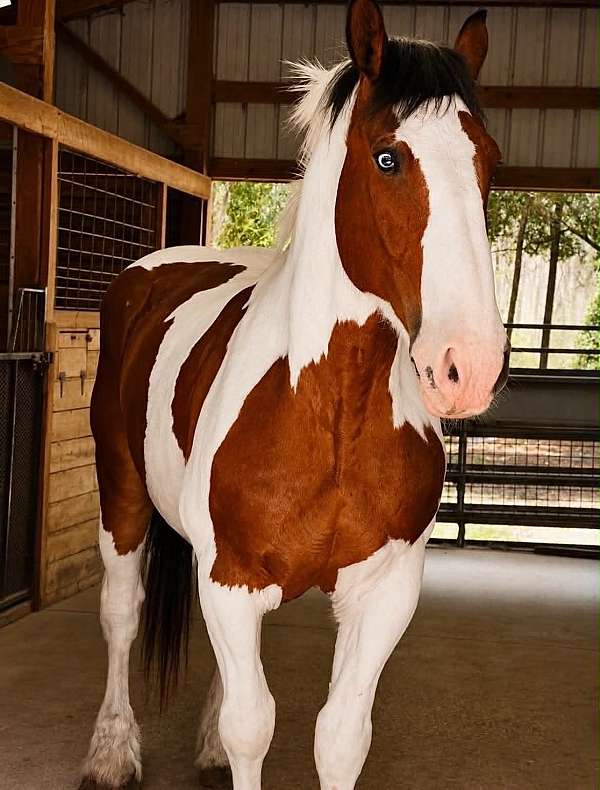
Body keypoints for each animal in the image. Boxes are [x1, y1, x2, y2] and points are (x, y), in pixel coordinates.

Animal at [81, 1, 508, 787]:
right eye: (388, 157)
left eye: (488, 163)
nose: (469, 364)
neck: (329, 408)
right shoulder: (228, 579)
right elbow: (252, 728)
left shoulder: (384, 592)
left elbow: (338, 738)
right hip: (120, 492)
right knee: (121, 613)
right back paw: (111, 751)